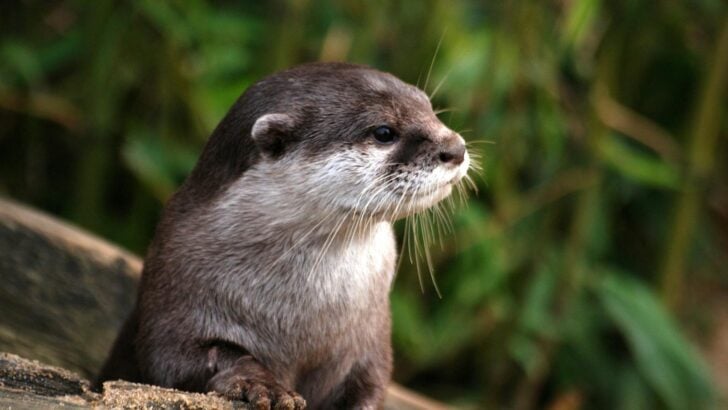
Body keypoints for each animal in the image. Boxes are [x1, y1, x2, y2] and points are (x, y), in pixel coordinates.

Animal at [97, 62, 470, 409]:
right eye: (383, 131)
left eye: (429, 107)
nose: (456, 148)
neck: (302, 318)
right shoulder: (174, 293)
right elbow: (179, 358)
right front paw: (261, 384)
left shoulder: (370, 342)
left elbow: (371, 384)